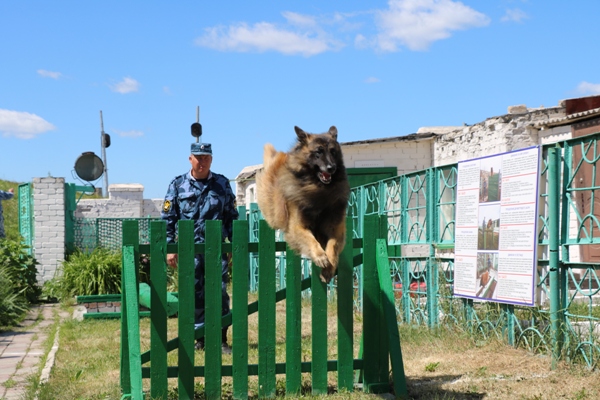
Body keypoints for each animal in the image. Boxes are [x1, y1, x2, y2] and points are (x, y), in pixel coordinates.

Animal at [255, 125, 350, 282]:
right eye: (318, 152)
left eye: (333, 151)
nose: (331, 168)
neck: (318, 190)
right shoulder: (297, 227)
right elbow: (309, 239)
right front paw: (320, 256)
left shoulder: (335, 227)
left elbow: (332, 246)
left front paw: (329, 268)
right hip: (274, 215)